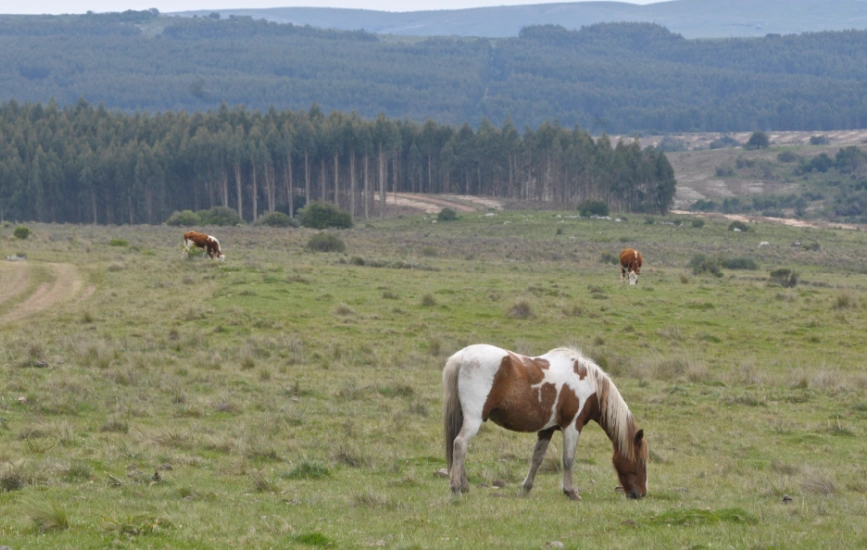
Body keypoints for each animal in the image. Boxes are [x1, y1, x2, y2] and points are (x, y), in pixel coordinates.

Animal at [443, 344, 647, 500]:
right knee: (460, 445)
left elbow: (537, 458)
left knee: (458, 446)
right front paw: (571, 492)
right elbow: (568, 459)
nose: (641, 494)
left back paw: (464, 486)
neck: (588, 384)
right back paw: (456, 488)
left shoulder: (547, 429)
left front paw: (525, 489)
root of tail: (461, 357)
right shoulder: (572, 426)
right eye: (641, 461)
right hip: (473, 419)